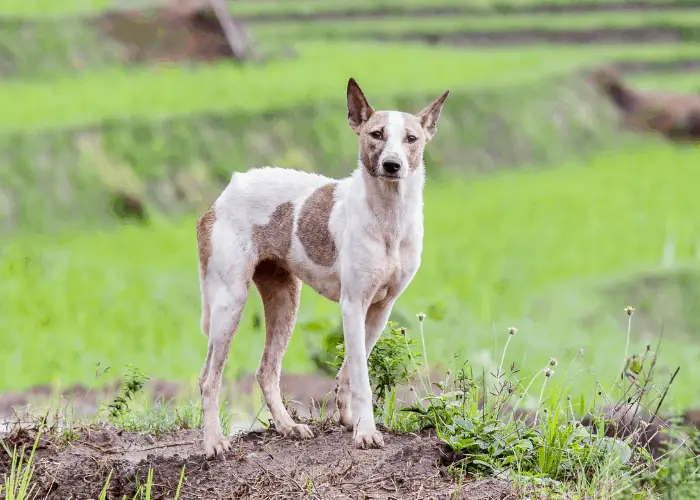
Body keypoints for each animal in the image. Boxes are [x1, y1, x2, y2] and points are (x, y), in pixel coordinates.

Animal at [196, 77, 448, 458]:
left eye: (411, 138)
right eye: (376, 134)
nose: (392, 165)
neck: (388, 217)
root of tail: (226, 190)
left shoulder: (380, 309)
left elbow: (349, 371)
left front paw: (349, 420)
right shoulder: (353, 305)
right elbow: (361, 378)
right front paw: (366, 432)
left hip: (286, 301)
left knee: (266, 371)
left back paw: (288, 426)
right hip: (230, 303)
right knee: (209, 378)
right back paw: (213, 442)